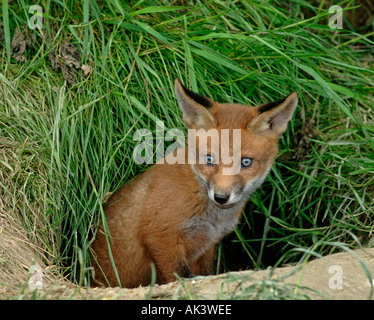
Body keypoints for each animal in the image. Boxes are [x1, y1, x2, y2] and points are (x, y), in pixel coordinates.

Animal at [91, 79, 298, 288]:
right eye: (209, 159)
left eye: (246, 162)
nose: (221, 197)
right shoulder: (160, 236)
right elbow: (182, 277)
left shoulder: (207, 244)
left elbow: (206, 274)